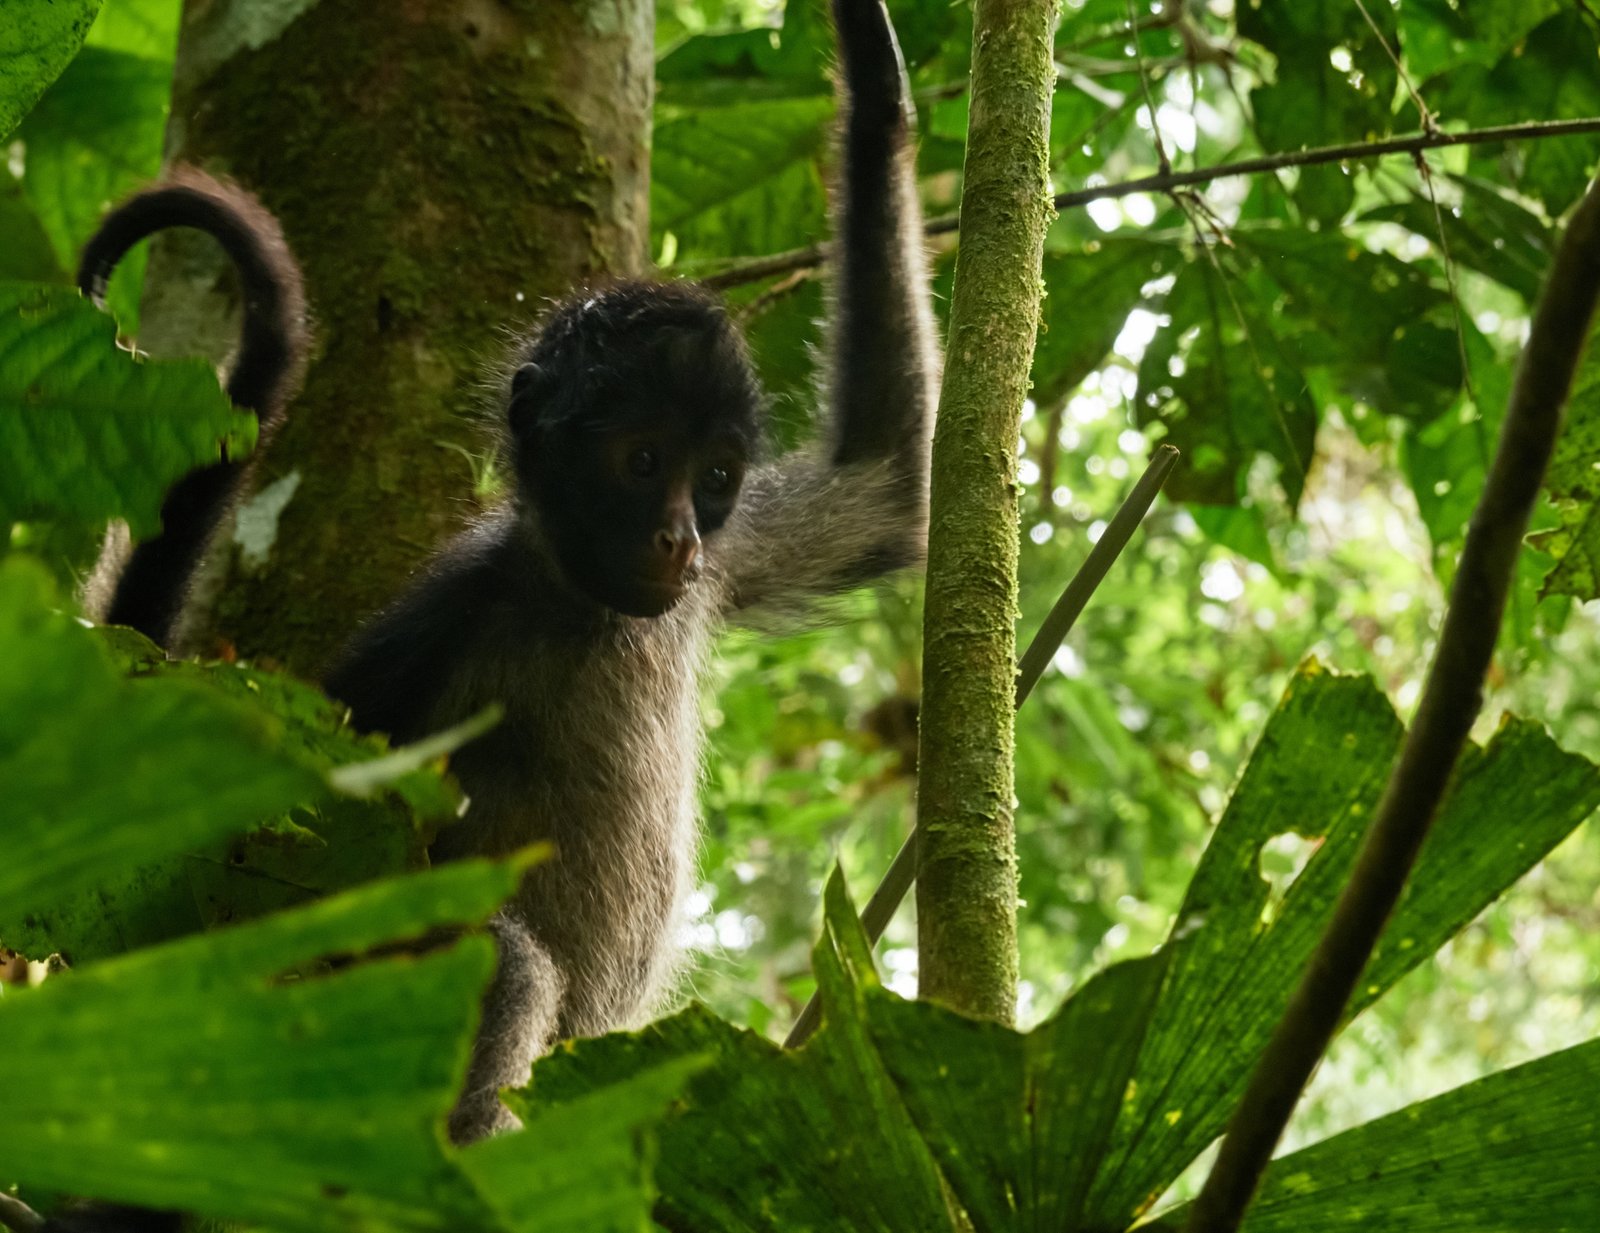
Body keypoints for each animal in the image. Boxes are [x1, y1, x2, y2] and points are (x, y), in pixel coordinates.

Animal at [322, 0, 938, 1144]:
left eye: (717, 477)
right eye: (642, 462)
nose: (676, 539)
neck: (583, 607)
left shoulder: (719, 573)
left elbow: (888, 484)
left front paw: (877, 84)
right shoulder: (445, 610)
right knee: (510, 962)